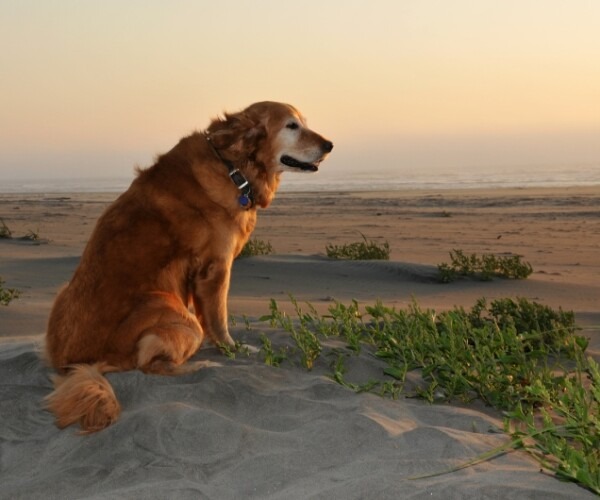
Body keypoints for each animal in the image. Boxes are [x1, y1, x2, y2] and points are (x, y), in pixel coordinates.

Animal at [44, 102, 332, 434]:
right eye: (291, 126)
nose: (329, 145)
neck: (233, 167)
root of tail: (73, 365)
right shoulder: (216, 268)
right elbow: (218, 320)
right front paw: (232, 350)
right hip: (174, 312)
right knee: (149, 364)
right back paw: (201, 365)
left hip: (64, 292)